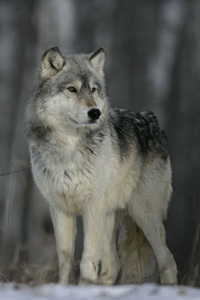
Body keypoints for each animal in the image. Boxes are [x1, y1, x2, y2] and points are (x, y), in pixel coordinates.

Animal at [25, 45, 177, 284]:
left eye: (94, 90)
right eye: (72, 89)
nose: (95, 112)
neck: (68, 149)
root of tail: (154, 122)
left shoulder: (92, 206)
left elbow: (87, 260)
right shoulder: (60, 209)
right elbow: (65, 262)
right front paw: (65, 287)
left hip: (143, 213)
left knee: (167, 260)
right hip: (109, 215)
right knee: (113, 264)